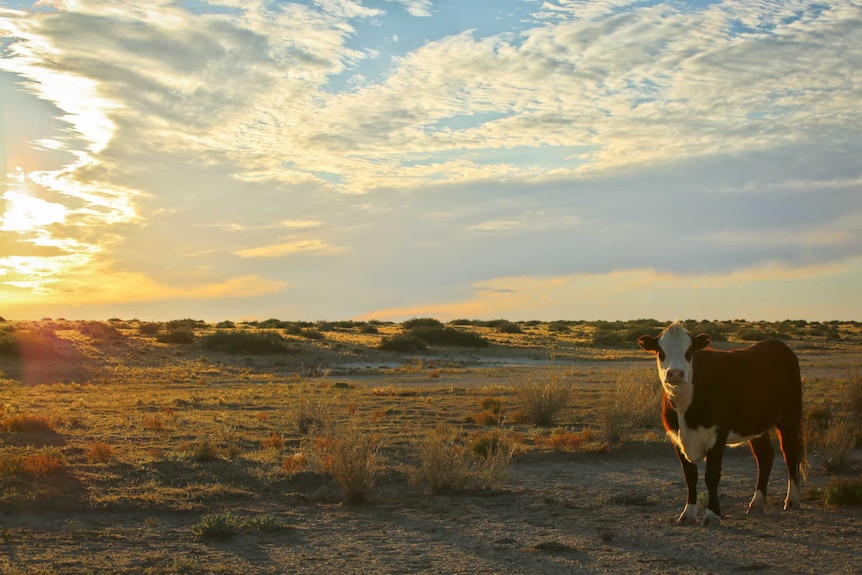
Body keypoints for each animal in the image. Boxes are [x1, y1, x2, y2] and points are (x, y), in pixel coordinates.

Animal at [636, 322, 808, 528]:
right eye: (660, 351)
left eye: (689, 351)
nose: (676, 373)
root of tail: (778, 344)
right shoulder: (676, 438)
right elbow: (690, 477)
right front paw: (688, 513)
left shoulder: (717, 435)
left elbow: (711, 476)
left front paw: (712, 514)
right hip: (756, 424)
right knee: (765, 456)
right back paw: (757, 502)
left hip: (789, 417)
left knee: (791, 454)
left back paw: (792, 499)